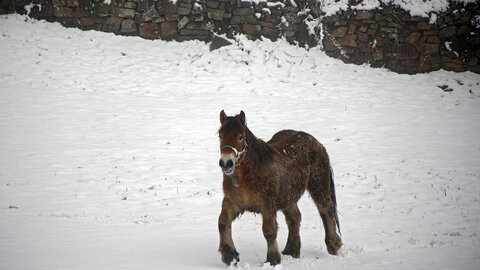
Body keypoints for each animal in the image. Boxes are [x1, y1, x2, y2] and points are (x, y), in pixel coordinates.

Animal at [218, 110, 342, 266]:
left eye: (240, 137)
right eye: (220, 136)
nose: (226, 163)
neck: (247, 176)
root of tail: (315, 141)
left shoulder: (267, 205)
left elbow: (269, 231)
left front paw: (272, 260)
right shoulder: (232, 203)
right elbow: (222, 222)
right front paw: (230, 256)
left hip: (318, 186)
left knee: (326, 211)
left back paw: (334, 245)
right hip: (288, 197)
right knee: (295, 217)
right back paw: (291, 250)